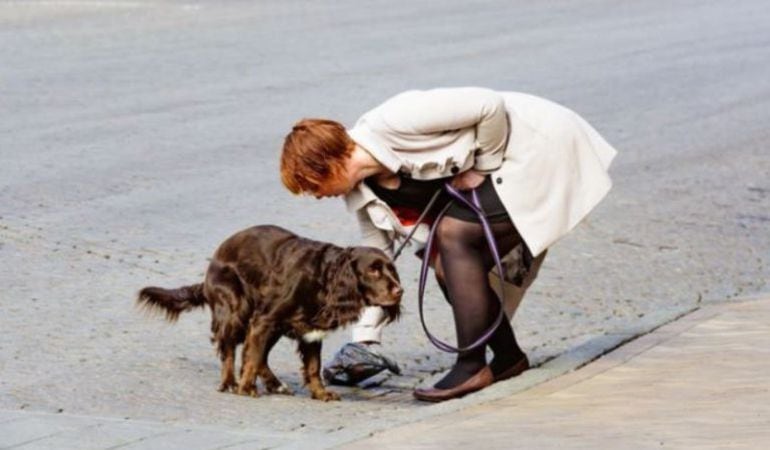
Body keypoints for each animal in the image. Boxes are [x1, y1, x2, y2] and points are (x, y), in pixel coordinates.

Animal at [138, 225, 402, 400]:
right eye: (373, 270)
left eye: (391, 269)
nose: (400, 291)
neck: (324, 277)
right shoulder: (264, 319)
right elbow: (252, 356)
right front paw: (246, 388)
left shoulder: (310, 330)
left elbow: (312, 367)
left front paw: (321, 393)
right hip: (236, 309)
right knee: (230, 349)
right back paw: (230, 382)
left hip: (273, 325)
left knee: (256, 354)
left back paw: (275, 384)